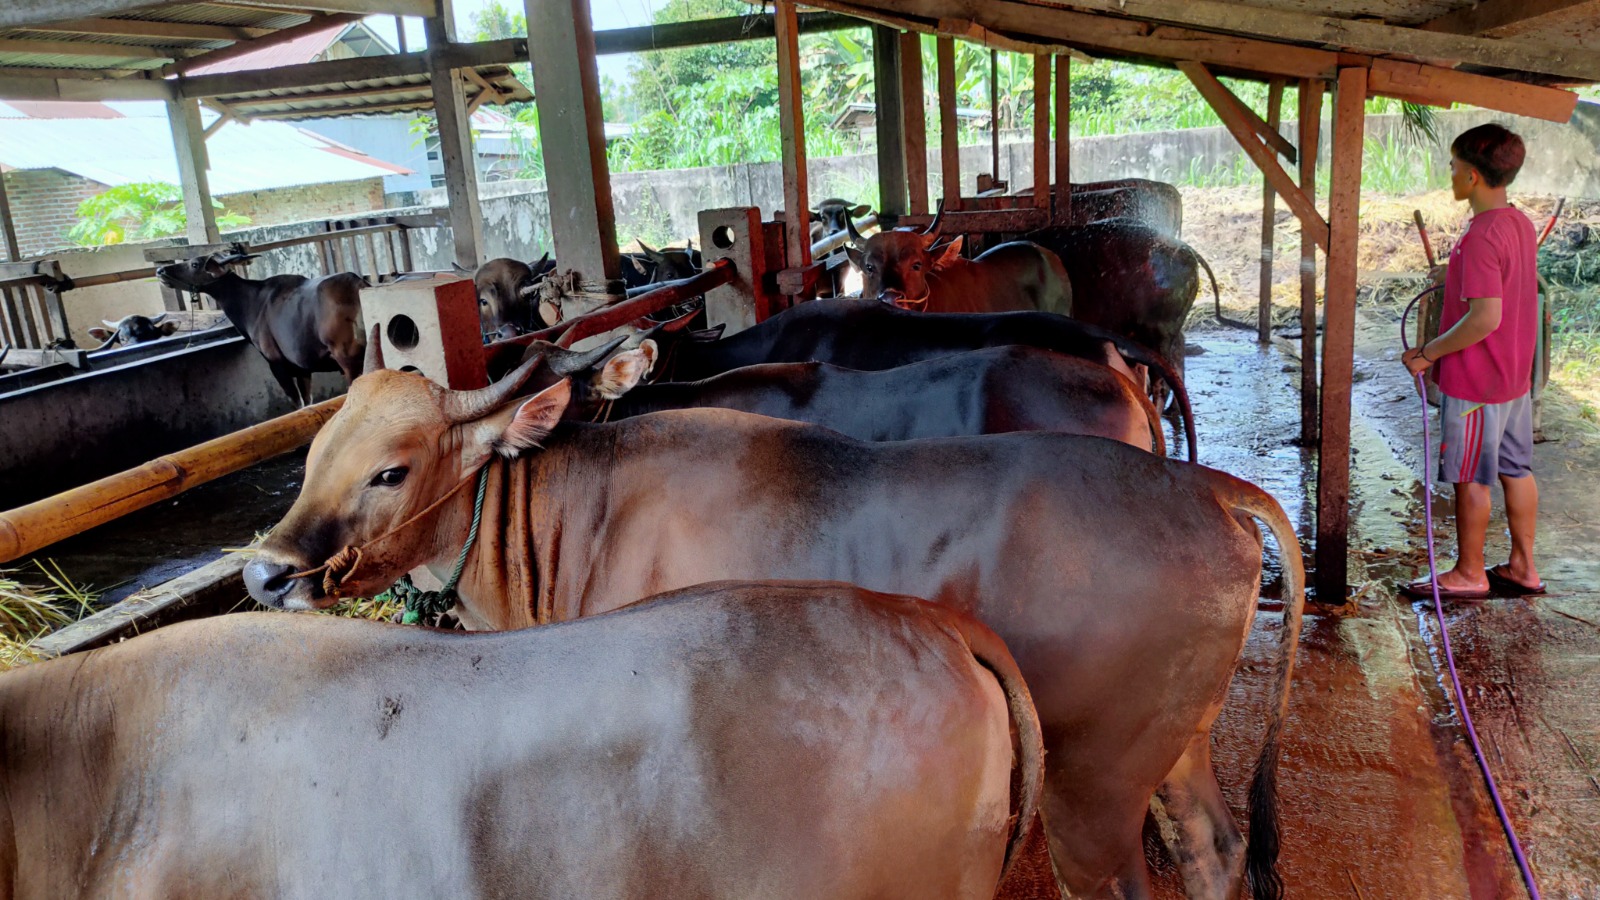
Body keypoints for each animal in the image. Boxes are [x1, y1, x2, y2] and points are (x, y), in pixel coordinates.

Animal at [156, 248, 366, 403]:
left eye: (194, 264)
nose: (160, 271)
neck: (251, 302)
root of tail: (357, 286)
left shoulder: (276, 364)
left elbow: (297, 404)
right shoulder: (302, 368)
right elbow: (308, 402)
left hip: (348, 358)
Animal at [243, 357, 1305, 896]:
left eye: (391, 469)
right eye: (315, 455)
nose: (264, 570)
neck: (574, 518)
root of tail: (1206, 487)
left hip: (1093, 788)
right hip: (1173, 747)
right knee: (1215, 848)